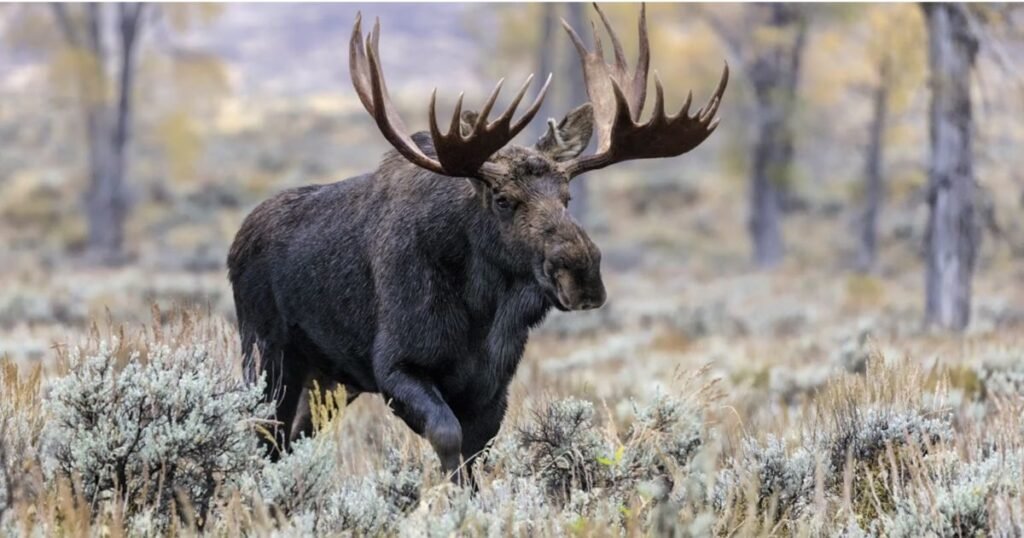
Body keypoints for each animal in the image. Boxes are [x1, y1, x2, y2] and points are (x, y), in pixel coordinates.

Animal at [227, 4, 727, 484]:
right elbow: (448, 438)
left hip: (329, 380)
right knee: (265, 438)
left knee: (292, 439)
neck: (481, 311)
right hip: (268, 356)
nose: (582, 274)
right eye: (503, 199)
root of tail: (237, 241)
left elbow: (476, 454)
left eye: (566, 197)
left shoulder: (492, 386)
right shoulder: (395, 365)